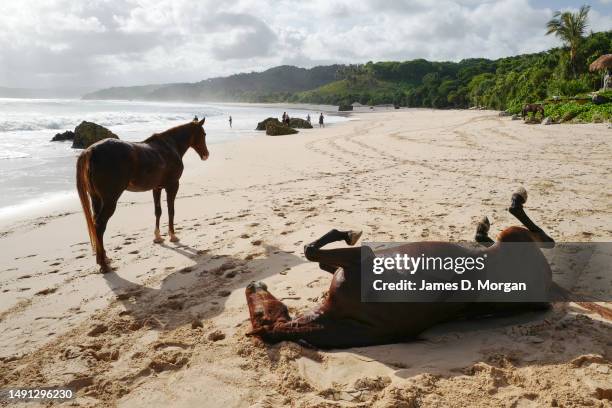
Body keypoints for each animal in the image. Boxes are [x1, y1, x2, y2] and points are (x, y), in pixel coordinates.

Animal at [76, 116, 210, 272]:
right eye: (203, 134)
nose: (206, 155)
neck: (170, 147)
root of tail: (91, 151)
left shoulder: (157, 188)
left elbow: (158, 211)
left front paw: (158, 237)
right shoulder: (172, 186)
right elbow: (171, 211)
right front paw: (172, 236)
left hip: (96, 199)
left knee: (95, 222)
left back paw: (102, 259)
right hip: (110, 201)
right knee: (99, 225)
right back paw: (103, 264)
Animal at [243, 190, 556, 350]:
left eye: (256, 308)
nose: (252, 285)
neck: (330, 319)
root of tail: (545, 293)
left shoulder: (358, 260)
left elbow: (315, 255)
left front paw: (348, 233)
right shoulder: (360, 260)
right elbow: (313, 251)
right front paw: (350, 232)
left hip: (510, 239)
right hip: (513, 237)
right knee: (540, 236)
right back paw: (507, 208)